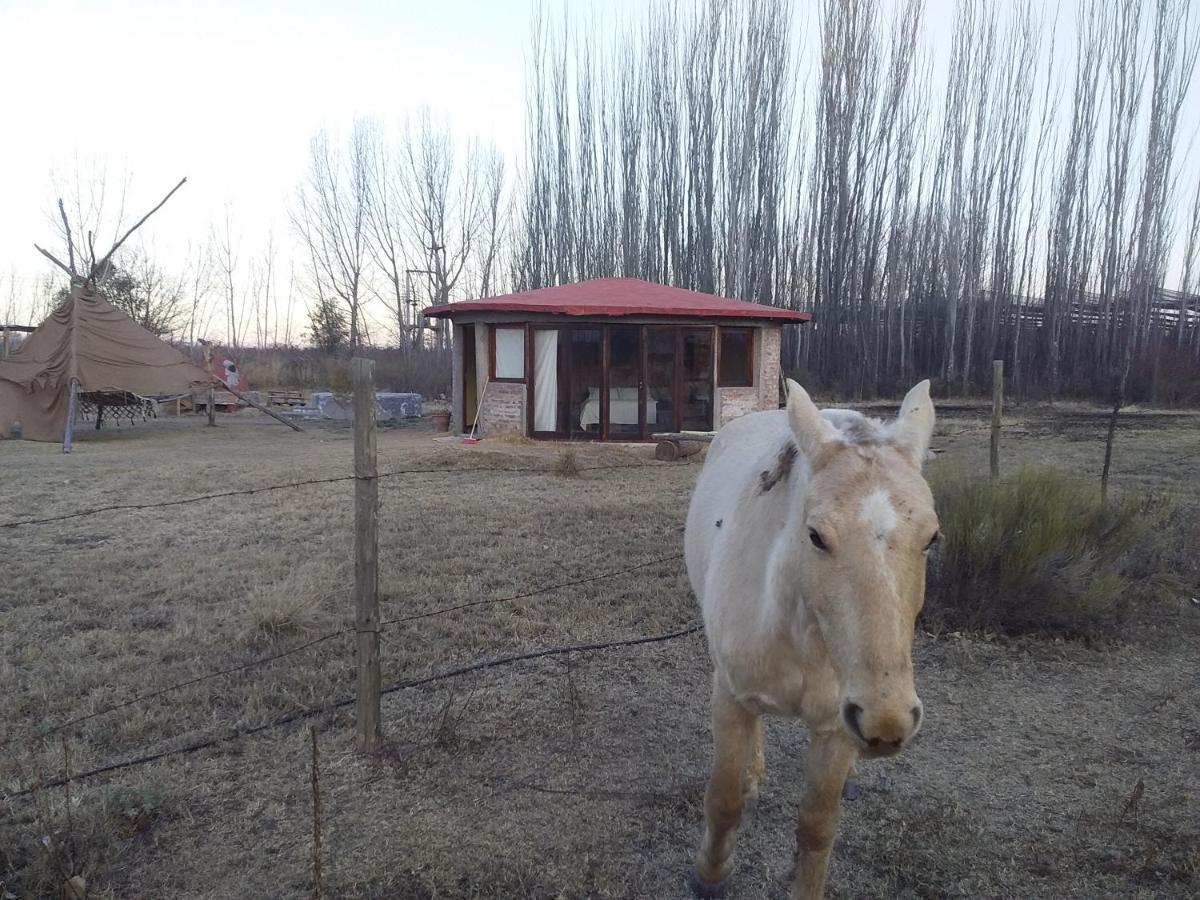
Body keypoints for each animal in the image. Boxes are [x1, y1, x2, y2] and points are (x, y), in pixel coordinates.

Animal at [686, 381, 936, 900]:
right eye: (816, 535)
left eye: (932, 539)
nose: (886, 721)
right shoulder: (730, 696)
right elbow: (722, 800)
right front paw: (709, 875)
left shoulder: (835, 726)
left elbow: (817, 827)